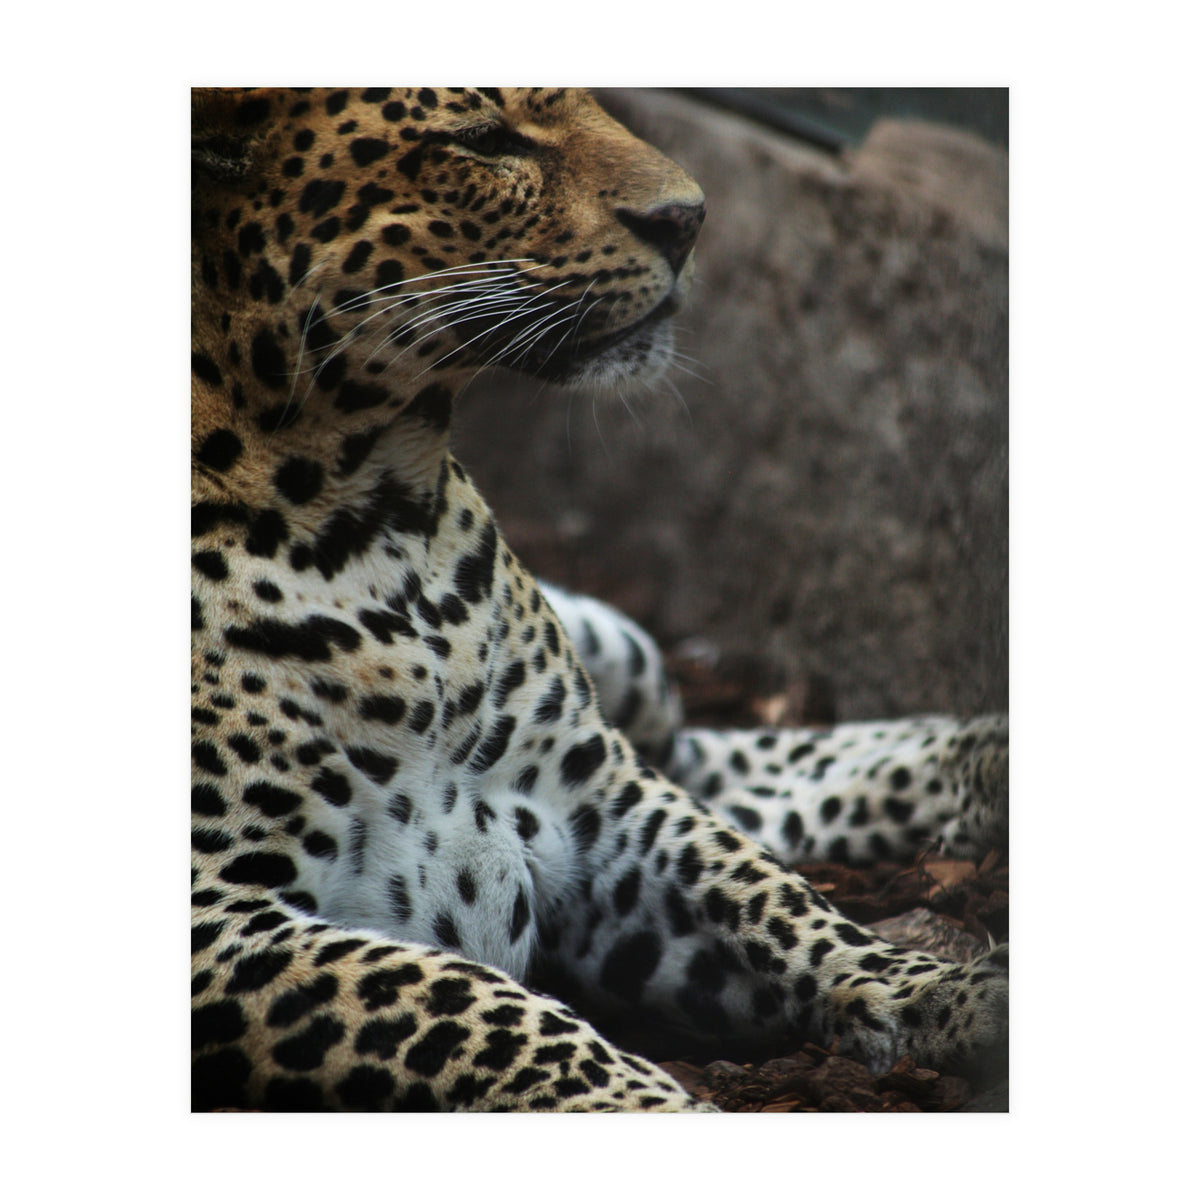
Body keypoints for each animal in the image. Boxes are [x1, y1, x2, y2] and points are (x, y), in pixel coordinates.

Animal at [191, 86, 1008, 1112]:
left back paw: (989, 759)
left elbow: (773, 898)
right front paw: (660, 1108)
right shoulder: (216, 918)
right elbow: (470, 1001)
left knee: (711, 763)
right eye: (484, 139)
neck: (376, 518)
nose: (689, 219)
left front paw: (950, 991)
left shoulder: (597, 803)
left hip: (629, 667)